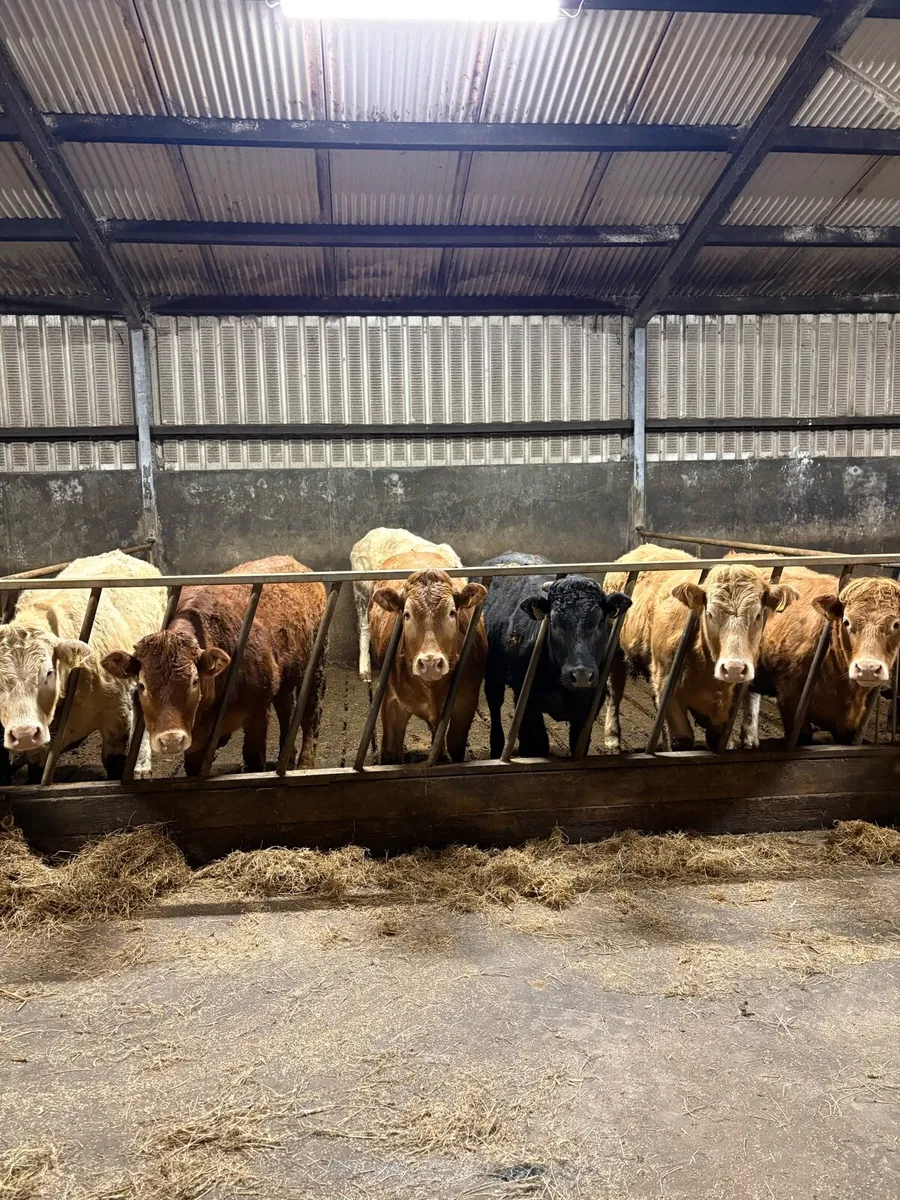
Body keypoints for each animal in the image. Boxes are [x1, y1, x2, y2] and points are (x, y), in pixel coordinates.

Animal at [102, 556, 326, 776]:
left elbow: (254, 759)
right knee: (285, 705)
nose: (171, 740)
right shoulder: (196, 741)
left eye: (195, 681)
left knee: (310, 714)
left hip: (317, 663)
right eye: (141, 685)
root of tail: (291, 560)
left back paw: (305, 764)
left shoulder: (259, 711)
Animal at [368, 548, 486, 764]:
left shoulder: (466, 703)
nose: (430, 663)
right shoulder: (391, 702)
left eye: (452, 612)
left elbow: (455, 746)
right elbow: (390, 752)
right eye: (406, 614)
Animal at [481, 552, 632, 758]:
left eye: (600, 621)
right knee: (495, 704)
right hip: (492, 672)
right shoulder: (528, 700)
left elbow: (579, 744)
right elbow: (539, 743)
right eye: (553, 622)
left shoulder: (591, 704)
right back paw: (497, 747)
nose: (582, 675)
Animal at [604, 544, 798, 752]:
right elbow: (681, 739)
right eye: (710, 614)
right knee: (614, 693)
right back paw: (612, 738)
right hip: (615, 653)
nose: (734, 668)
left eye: (758, 615)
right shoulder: (665, 683)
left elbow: (719, 738)